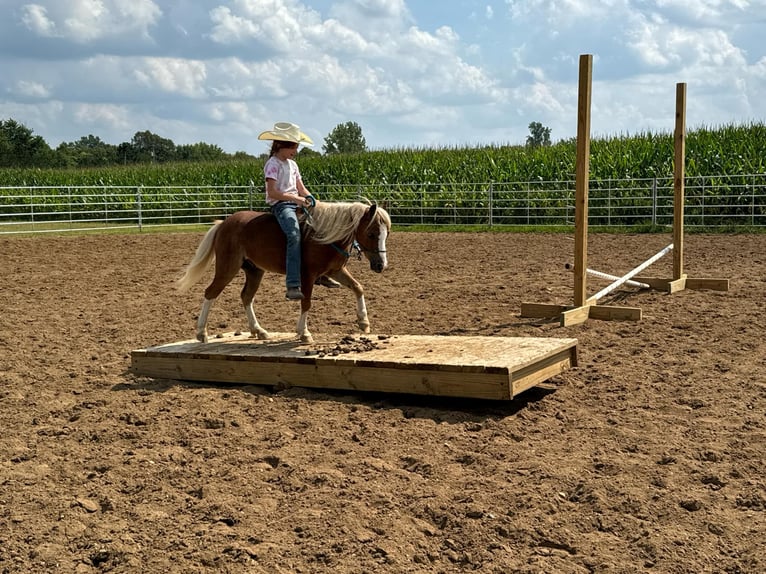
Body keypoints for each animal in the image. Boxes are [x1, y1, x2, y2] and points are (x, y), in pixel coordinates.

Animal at [177, 201, 391, 344]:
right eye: (371, 233)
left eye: (386, 233)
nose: (381, 265)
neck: (324, 237)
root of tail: (224, 224)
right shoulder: (307, 275)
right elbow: (306, 302)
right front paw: (304, 333)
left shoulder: (336, 270)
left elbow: (358, 287)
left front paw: (363, 322)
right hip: (227, 267)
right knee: (211, 292)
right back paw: (202, 333)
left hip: (254, 271)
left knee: (246, 296)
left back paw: (259, 330)